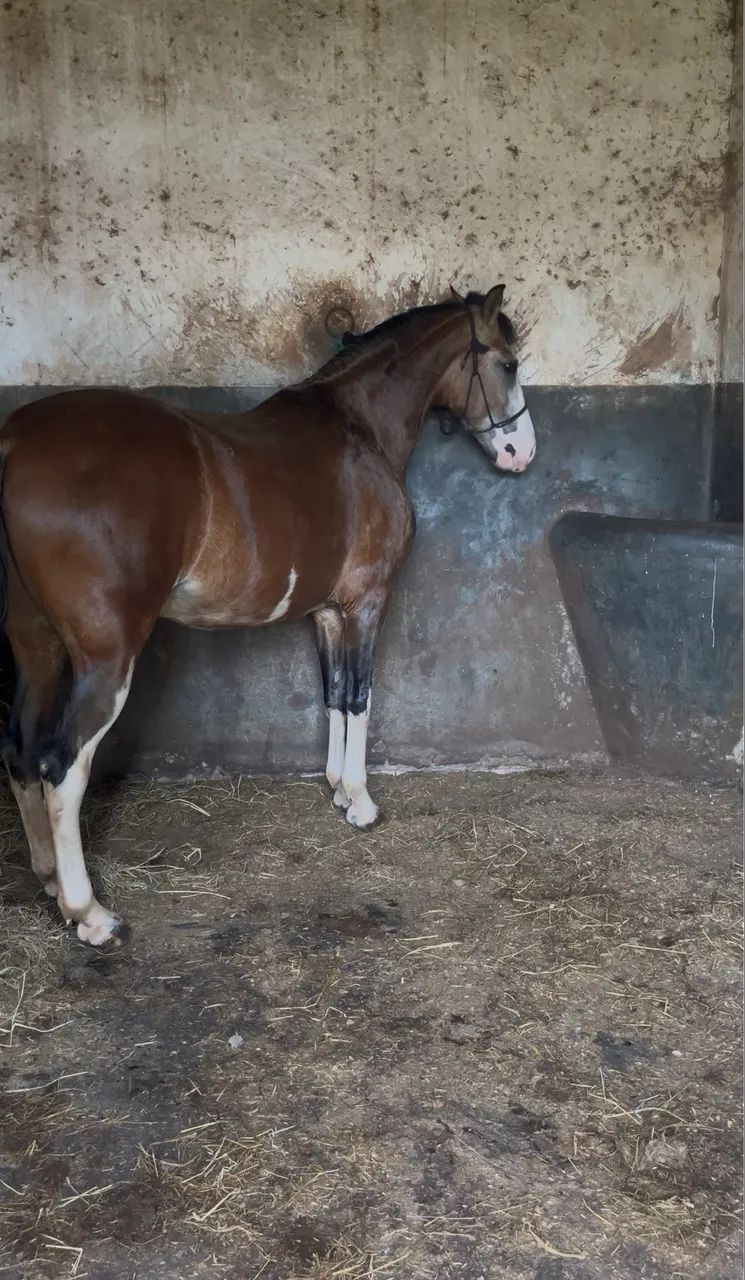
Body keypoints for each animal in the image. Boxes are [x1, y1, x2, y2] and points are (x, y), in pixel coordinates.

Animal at [0, 284, 536, 945]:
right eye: (507, 363)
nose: (520, 452)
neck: (358, 429)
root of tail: (14, 442)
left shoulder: (328, 612)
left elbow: (334, 695)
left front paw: (337, 791)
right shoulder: (367, 602)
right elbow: (360, 695)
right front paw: (361, 802)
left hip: (37, 646)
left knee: (19, 750)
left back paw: (49, 879)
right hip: (105, 657)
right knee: (61, 764)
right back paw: (89, 913)